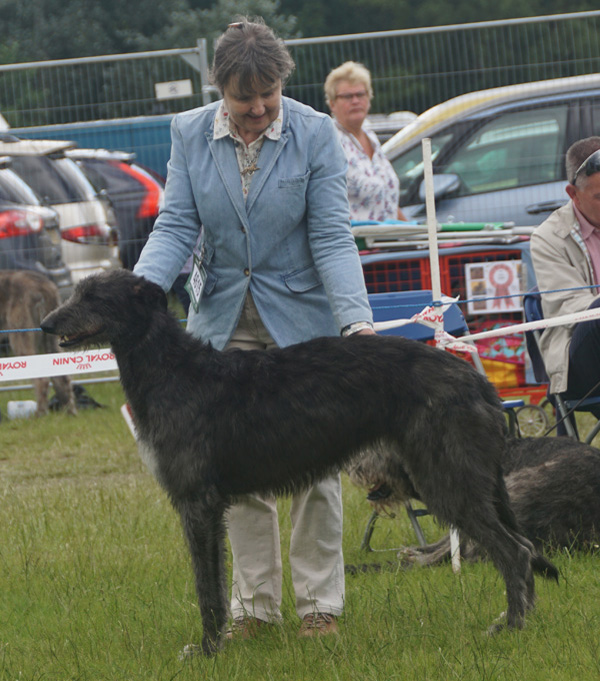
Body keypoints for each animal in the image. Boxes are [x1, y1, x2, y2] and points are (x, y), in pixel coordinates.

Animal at [0, 270, 76, 414]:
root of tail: (43, 285)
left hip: (20, 338)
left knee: (42, 380)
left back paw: (40, 413)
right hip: (50, 339)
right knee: (62, 378)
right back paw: (70, 412)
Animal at [41, 270, 556, 652]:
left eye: (93, 295)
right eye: (76, 291)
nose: (46, 324)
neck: (172, 370)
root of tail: (477, 382)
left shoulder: (197, 503)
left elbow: (207, 587)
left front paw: (207, 650)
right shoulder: (209, 505)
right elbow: (216, 581)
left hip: (447, 475)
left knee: (515, 550)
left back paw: (510, 626)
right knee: (519, 547)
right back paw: (522, 621)